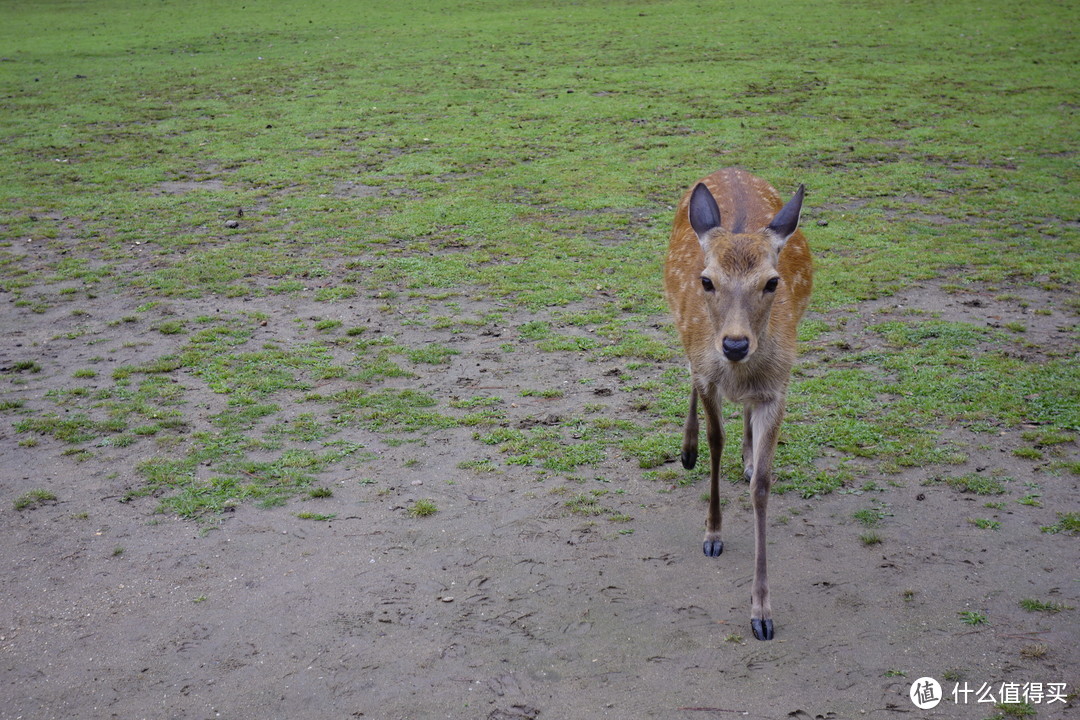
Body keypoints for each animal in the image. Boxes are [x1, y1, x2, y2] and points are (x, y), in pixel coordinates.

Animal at [665, 169, 812, 643]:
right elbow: (716, 442)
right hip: (684, 332)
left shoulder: (778, 388)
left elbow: (762, 486)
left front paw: (761, 610)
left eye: (772, 281)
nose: (734, 344)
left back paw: (746, 454)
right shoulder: (707, 373)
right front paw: (712, 533)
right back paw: (687, 449)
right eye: (707, 280)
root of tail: (731, 169)